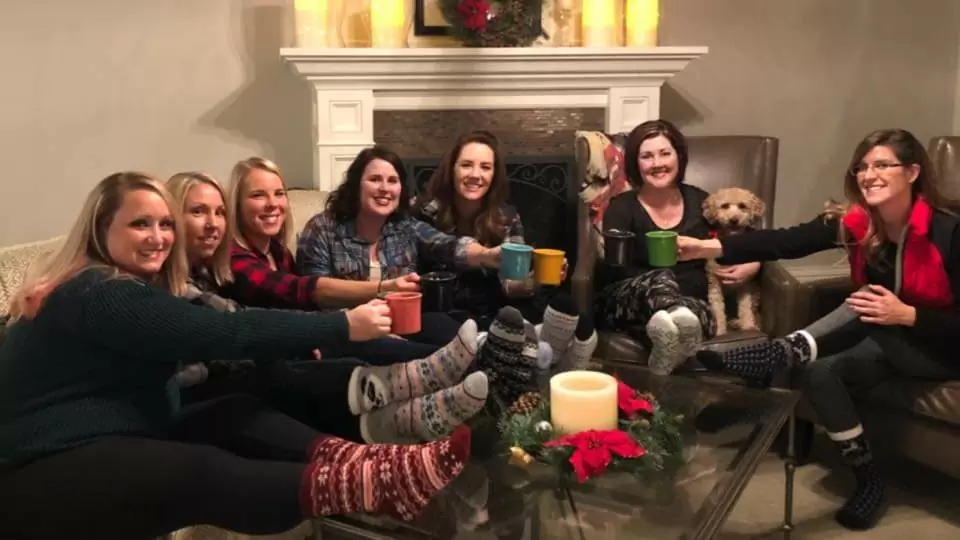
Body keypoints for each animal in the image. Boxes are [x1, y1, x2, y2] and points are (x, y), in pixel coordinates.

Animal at [696, 188, 764, 336]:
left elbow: (745, 307)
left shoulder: (744, 282)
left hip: (755, 290)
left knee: (753, 310)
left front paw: (747, 326)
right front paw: (719, 331)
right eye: (725, 206)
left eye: (742, 206)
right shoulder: (714, 282)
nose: (734, 220)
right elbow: (717, 308)